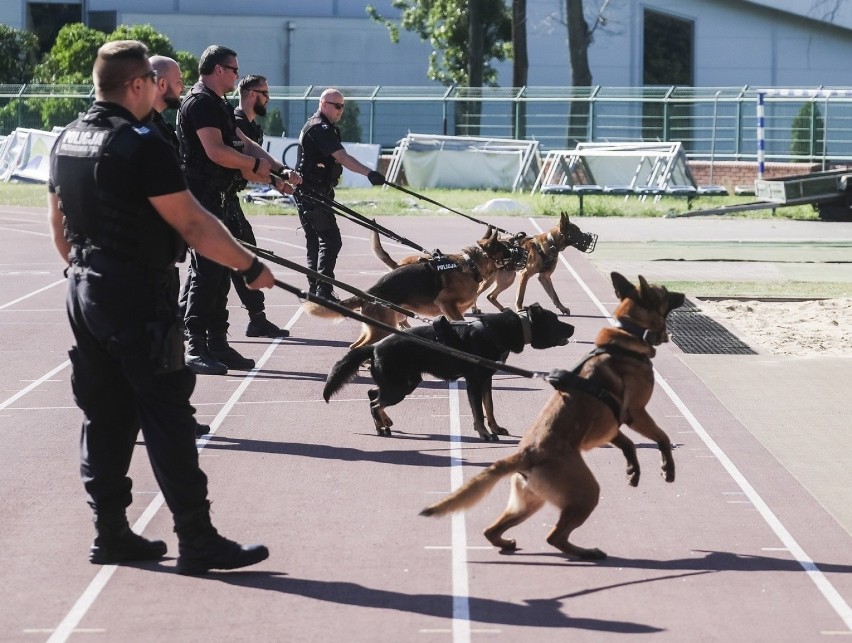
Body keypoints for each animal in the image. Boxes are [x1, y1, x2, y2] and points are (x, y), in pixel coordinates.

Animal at [322, 304, 576, 440]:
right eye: (555, 320)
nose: (573, 327)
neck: (503, 330)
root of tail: (374, 347)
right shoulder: (474, 382)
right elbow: (478, 412)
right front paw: (484, 433)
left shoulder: (486, 381)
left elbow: (489, 407)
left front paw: (495, 428)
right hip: (401, 386)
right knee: (374, 402)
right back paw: (380, 427)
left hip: (403, 382)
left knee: (372, 394)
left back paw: (386, 421)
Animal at [420, 274, 684, 560]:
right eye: (665, 292)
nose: (682, 295)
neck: (626, 337)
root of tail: (525, 455)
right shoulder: (635, 413)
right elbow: (662, 437)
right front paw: (667, 467)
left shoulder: (613, 425)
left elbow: (627, 444)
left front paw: (633, 469)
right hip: (586, 493)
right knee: (554, 536)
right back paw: (586, 552)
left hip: (529, 501)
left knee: (492, 530)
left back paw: (507, 544)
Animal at [472, 214, 600, 316]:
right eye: (576, 231)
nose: (590, 238)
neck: (551, 242)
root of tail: (484, 244)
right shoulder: (524, 275)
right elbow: (520, 296)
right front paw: (520, 309)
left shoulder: (545, 277)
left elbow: (554, 295)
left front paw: (562, 308)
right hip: (491, 279)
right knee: (477, 292)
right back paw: (474, 308)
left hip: (508, 278)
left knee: (490, 296)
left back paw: (503, 309)